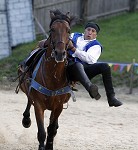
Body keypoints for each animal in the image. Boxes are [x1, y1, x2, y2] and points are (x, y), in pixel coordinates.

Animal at [17, 9, 75, 149]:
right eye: (52, 29)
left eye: (68, 30)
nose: (60, 53)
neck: (53, 77)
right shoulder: (38, 105)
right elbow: (42, 132)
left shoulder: (58, 106)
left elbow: (51, 129)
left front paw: (50, 144)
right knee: (29, 100)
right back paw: (26, 119)